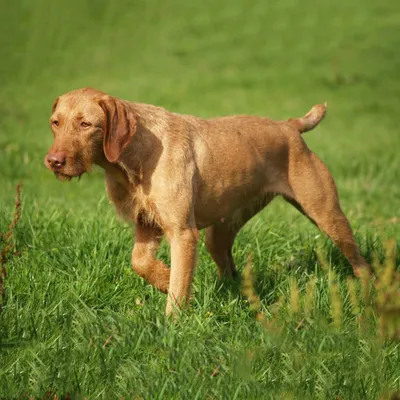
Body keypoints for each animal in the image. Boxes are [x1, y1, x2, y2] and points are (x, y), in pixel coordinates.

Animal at [45, 87, 370, 316]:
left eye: (86, 124)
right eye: (55, 123)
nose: (53, 161)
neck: (136, 155)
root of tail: (289, 126)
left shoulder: (183, 233)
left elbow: (178, 287)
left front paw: (171, 324)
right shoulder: (147, 224)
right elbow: (140, 263)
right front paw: (163, 278)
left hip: (327, 215)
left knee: (360, 262)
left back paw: (368, 296)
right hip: (219, 232)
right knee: (228, 267)